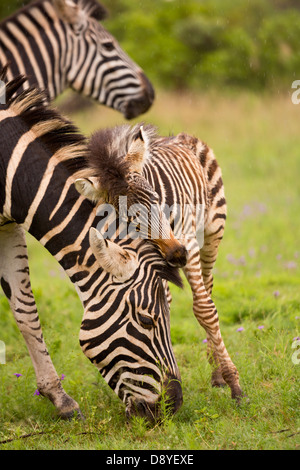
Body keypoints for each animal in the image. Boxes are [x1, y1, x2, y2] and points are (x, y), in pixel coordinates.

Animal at [75, 122, 244, 400]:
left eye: (156, 199)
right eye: (126, 218)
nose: (177, 255)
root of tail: (176, 136)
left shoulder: (188, 239)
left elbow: (204, 310)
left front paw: (233, 382)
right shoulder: (155, 254)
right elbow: (160, 304)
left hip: (212, 232)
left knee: (207, 289)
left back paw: (217, 371)